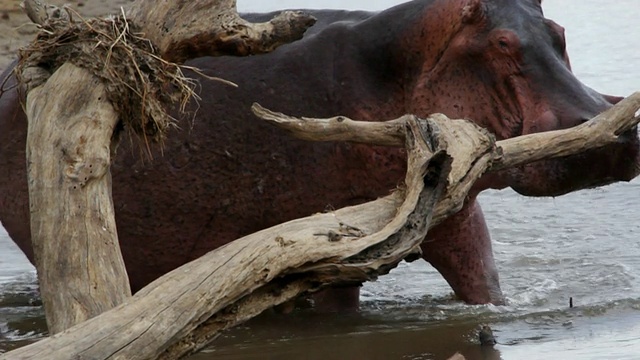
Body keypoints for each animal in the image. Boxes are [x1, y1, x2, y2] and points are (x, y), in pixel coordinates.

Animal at [0, 0, 636, 310]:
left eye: (559, 31)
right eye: (502, 44)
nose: (613, 131)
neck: (399, 66)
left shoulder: (453, 211)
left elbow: (483, 281)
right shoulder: (329, 249)